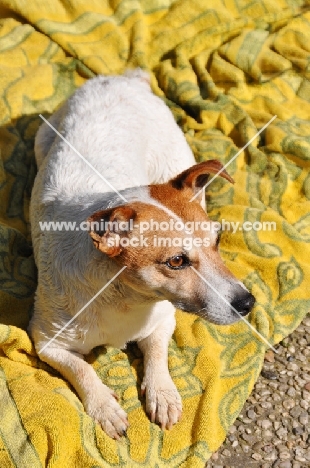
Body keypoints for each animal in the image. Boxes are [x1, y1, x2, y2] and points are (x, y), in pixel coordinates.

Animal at [29, 68, 256, 438]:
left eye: (217, 241)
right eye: (176, 261)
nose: (247, 303)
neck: (125, 299)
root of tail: (123, 79)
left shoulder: (163, 320)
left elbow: (157, 354)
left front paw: (162, 394)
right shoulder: (47, 342)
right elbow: (82, 370)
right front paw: (104, 407)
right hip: (41, 139)